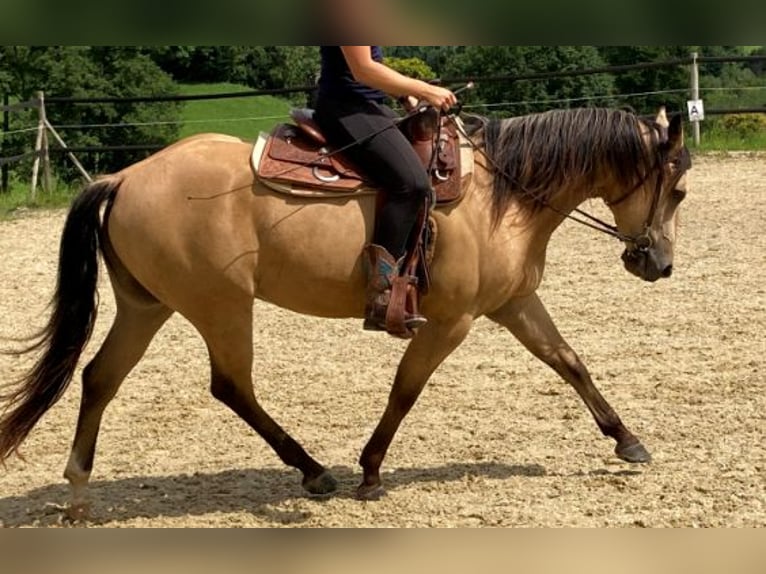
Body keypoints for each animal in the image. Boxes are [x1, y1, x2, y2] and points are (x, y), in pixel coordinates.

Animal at [0, 106, 690, 518]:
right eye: (679, 189)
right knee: (230, 385)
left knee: (100, 378)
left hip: (148, 307)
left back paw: (80, 492)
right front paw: (370, 471)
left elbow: (568, 362)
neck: (503, 196)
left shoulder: (514, 304)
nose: (658, 264)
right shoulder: (452, 322)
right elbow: (405, 390)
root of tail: (124, 178)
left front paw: (627, 440)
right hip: (221, 306)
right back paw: (313, 473)